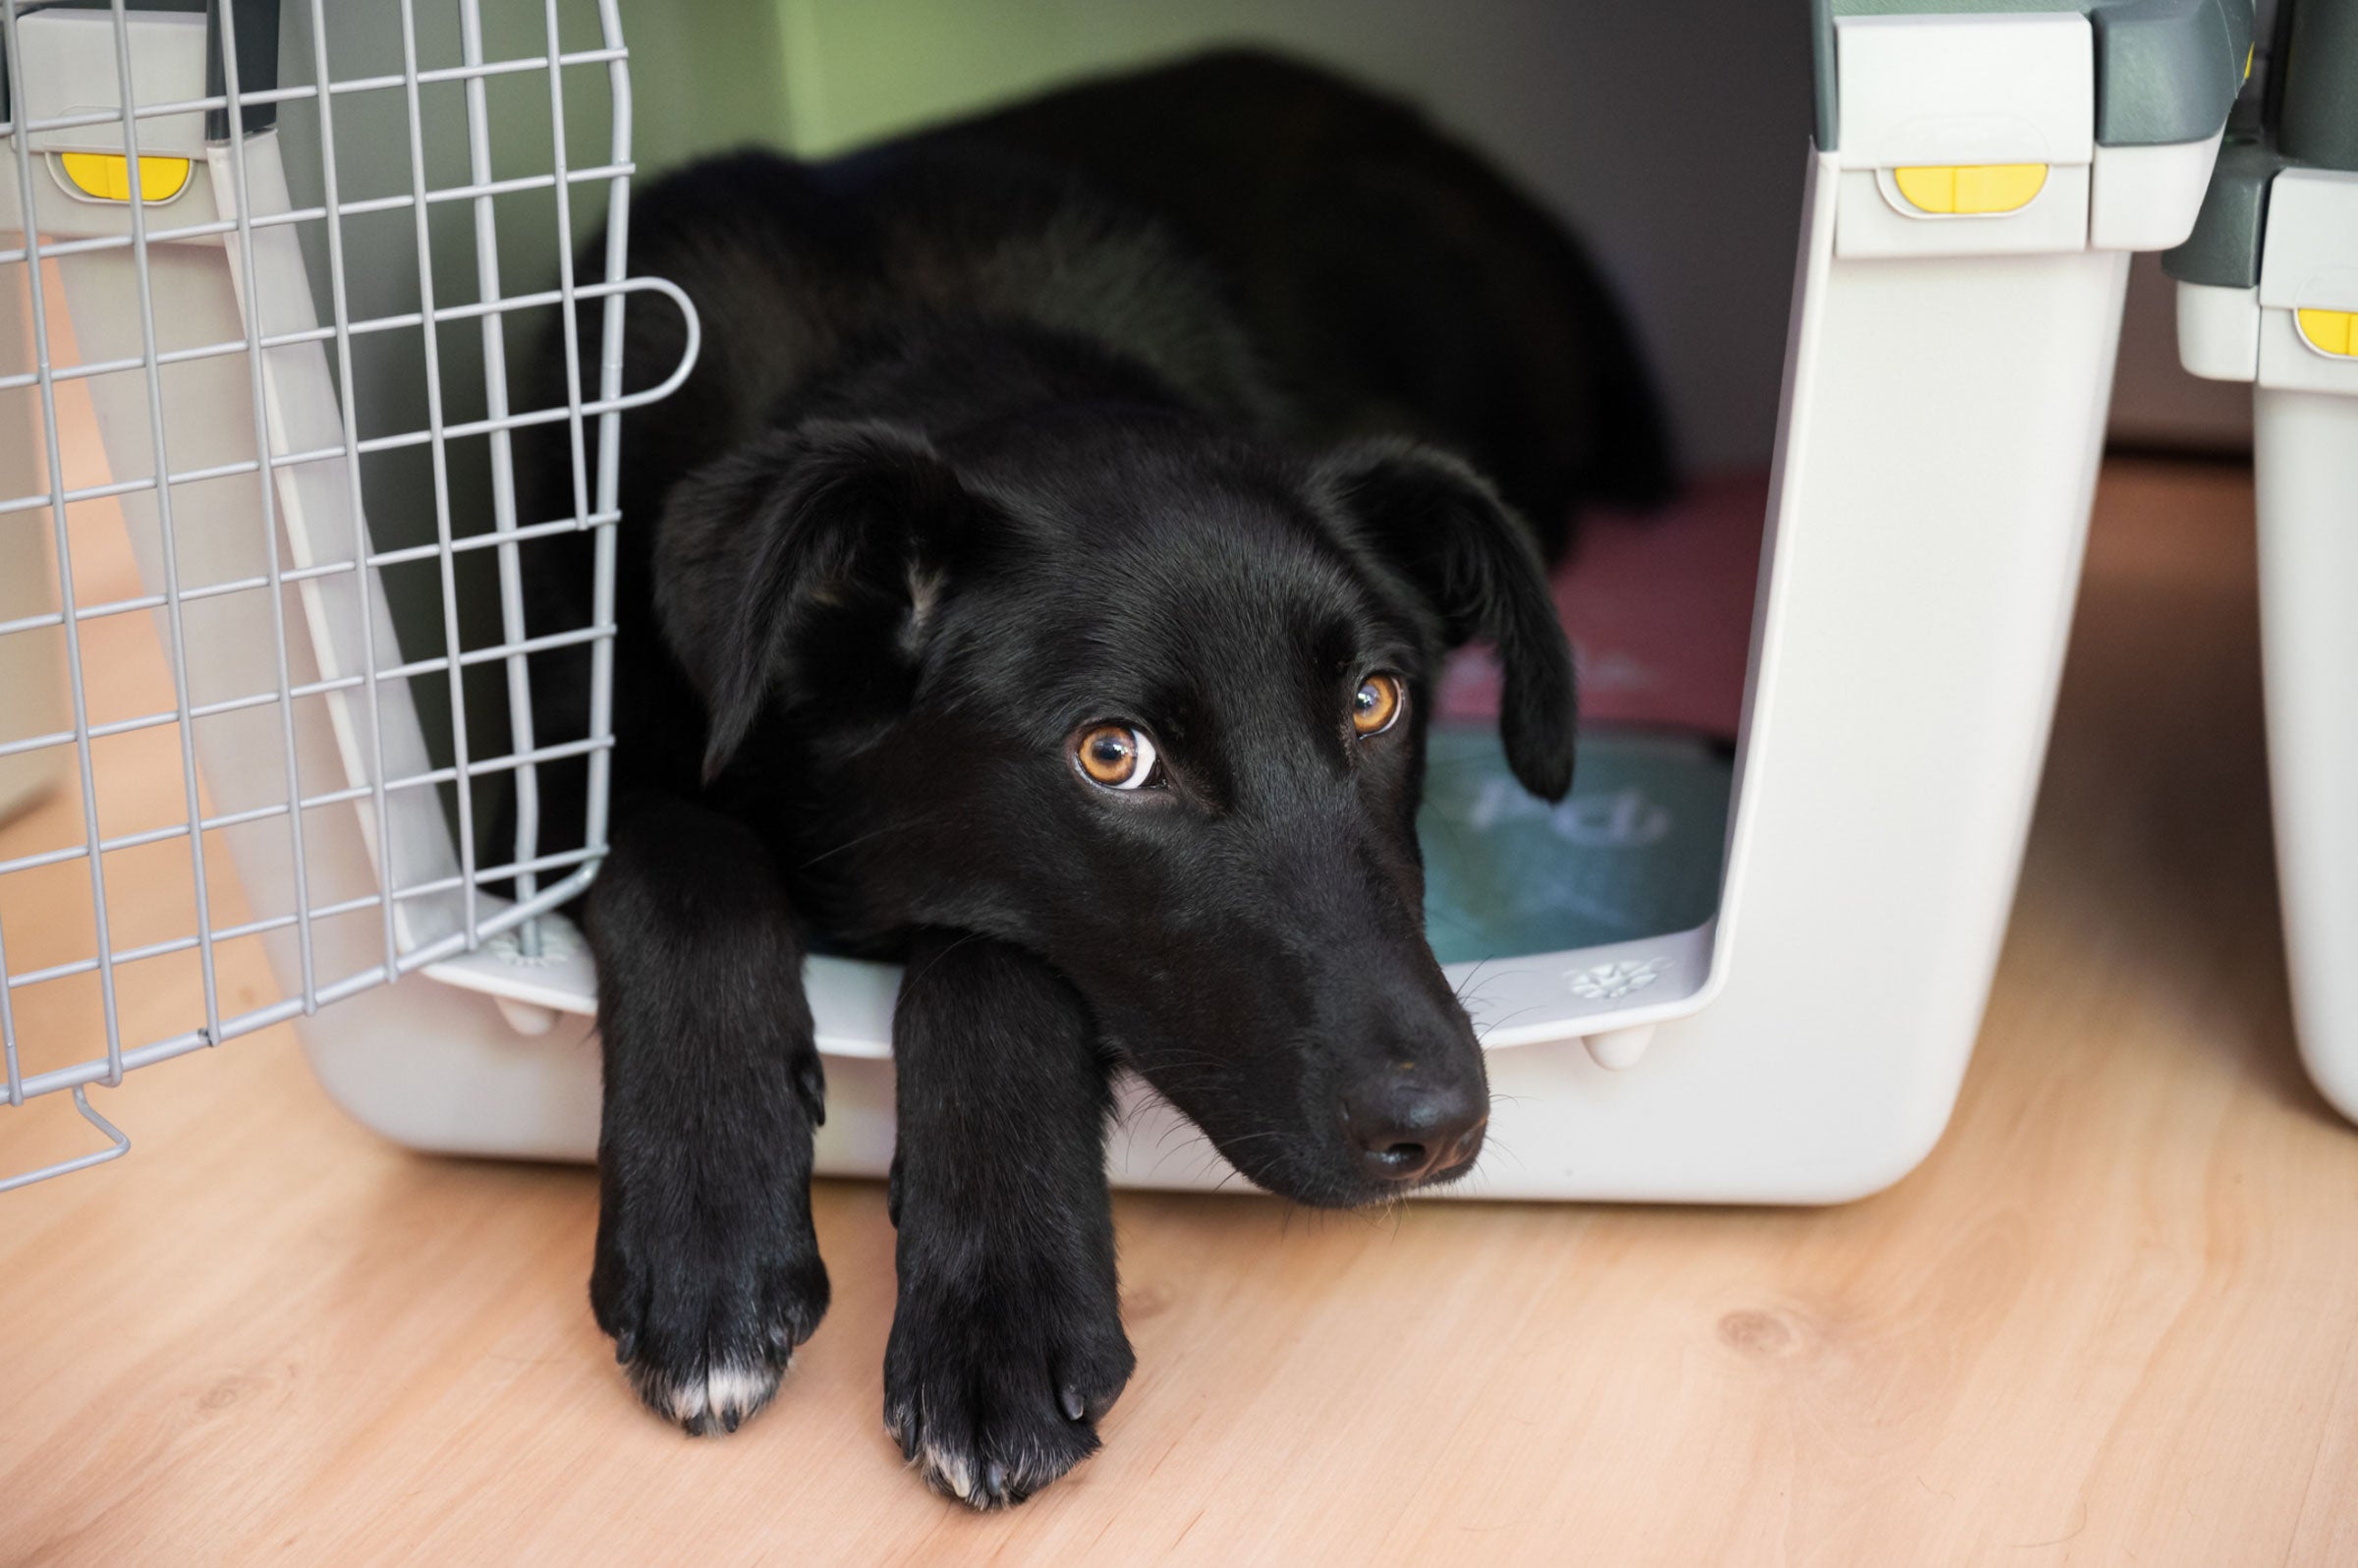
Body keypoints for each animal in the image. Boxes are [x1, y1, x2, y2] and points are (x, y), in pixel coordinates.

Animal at [521, 45, 1659, 1509]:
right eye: (1112, 756)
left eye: (1375, 699)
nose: (1440, 1125)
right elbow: (683, 859)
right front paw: (708, 1227)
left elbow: (996, 962)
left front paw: (1001, 1317)